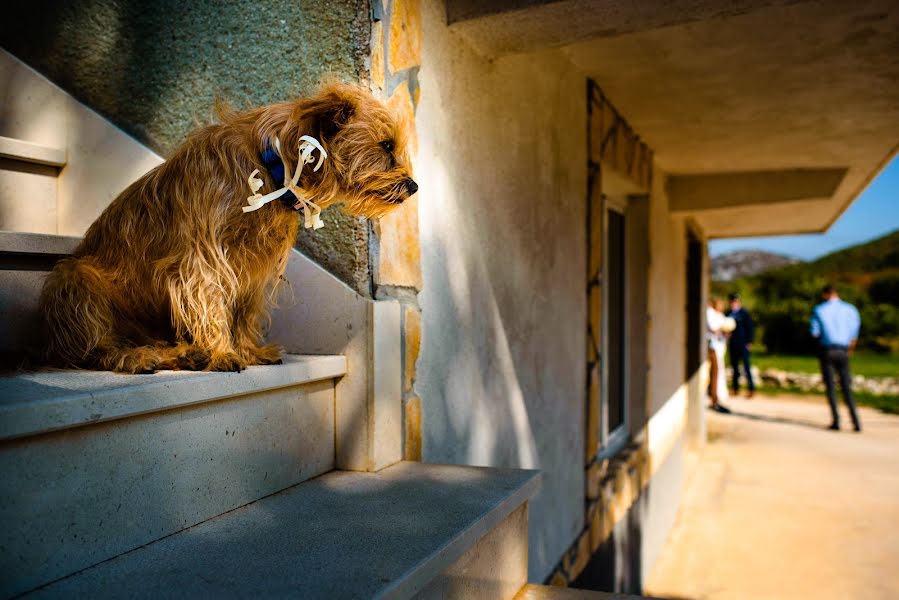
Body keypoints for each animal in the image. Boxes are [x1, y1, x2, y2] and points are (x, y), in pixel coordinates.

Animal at [39, 82, 418, 372]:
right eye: (386, 145)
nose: (414, 186)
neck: (271, 167)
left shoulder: (254, 264)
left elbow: (244, 311)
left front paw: (248, 350)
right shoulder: (202, 257)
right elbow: (210, 301)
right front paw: (223, 352)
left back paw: (181, 354)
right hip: (75, 279)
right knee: (97, 349)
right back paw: (139, 357)